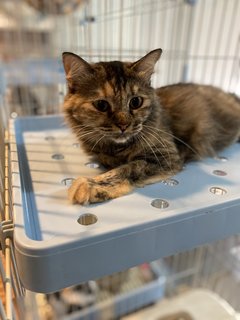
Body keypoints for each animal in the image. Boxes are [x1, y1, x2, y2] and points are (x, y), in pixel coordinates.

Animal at [61, 50, 240, 205]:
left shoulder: (165, 156)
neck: (115, 148)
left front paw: (91, 185)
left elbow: (128, 168)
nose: (124, 125)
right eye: (101, 105)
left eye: (136, 102)